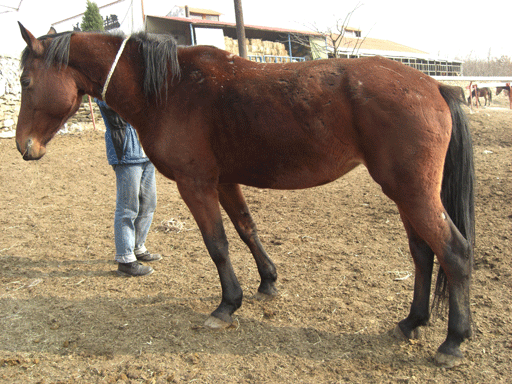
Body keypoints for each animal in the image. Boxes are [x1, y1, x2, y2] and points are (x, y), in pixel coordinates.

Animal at [15, 24, 476, 368]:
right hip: (405, 195)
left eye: (25, 80)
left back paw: (453, 342)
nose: (24, 147)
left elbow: (217, 244)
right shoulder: (223, 181)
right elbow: (246, 229)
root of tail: (434, 85)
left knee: (454, 252)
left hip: (412, 193)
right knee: (423, 253)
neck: (171, 89)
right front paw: (267, 281)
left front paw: (227, 305)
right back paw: (412, 321)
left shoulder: (196, 184)